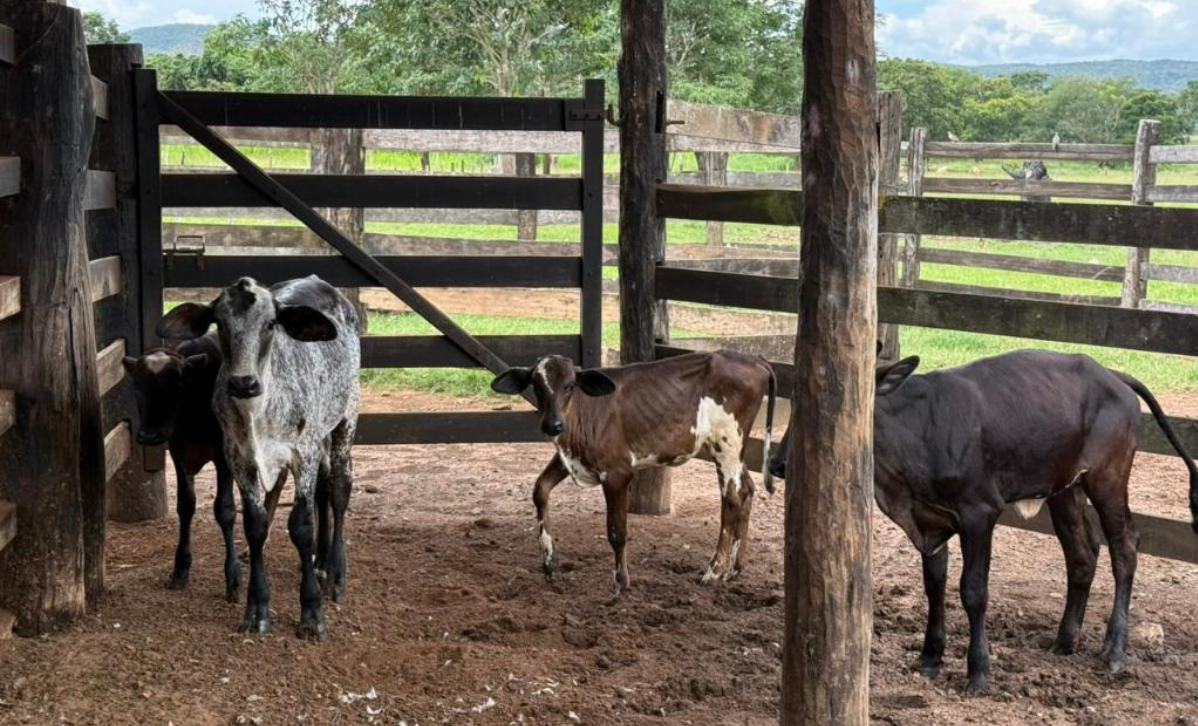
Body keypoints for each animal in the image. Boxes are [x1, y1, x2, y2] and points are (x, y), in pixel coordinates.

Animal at [156, 275, 361, 641]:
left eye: (269, 324)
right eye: (220, 323)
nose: (244, 383)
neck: (257, 410)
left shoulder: (303, 452)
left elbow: (301, 527)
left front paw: (311, 613)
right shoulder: (239, 459)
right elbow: (255, 525)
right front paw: (256, 609)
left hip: (344, 420)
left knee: (338, 488)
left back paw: (335, 574)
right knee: (321, 489)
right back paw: (320, 563)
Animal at [491, 350, 776, 592]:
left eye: (570, 385)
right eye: (537, 387)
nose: (553, 424)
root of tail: (753, 358)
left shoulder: (617, 473)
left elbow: (617, 530)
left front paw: (621, 581)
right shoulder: (568, 459)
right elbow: (540, 489)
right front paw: (549, 560)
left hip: (726, 442)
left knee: (732, 499)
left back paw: (713, 572)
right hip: (733, 450)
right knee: (747, 490)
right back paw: (734, 569)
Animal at [768, 349, 1198, 693]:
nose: (780, 463)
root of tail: (1111, 374)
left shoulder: (979, 513)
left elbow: (973, 590)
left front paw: (978, 672)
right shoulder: (931, 521)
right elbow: (934, 584)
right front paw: (930, 656)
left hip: (1107, 478)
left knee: (1125, 546)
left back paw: (1114, 649)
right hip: (1064, 488)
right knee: (1082, 553)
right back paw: (1064, 641)